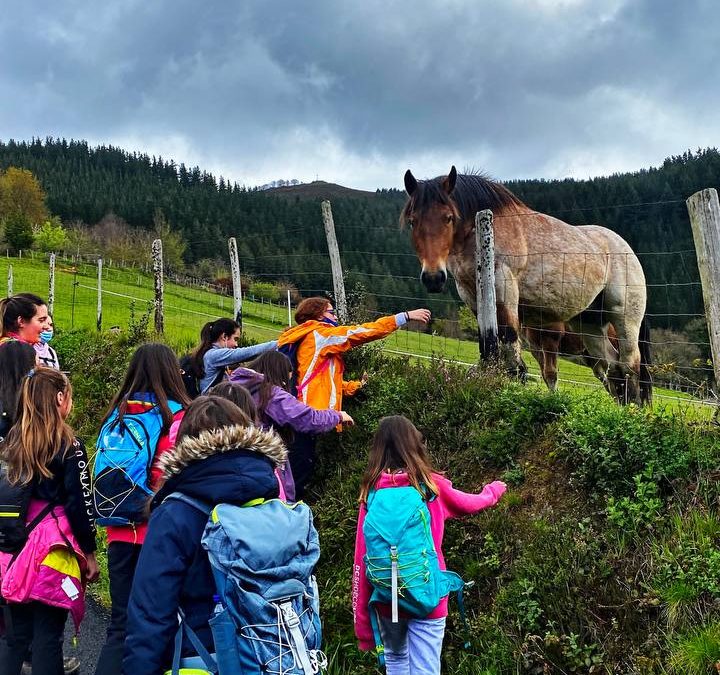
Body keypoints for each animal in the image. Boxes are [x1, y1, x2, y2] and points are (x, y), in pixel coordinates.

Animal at [402, 166, 656, 404]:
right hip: (590, 323)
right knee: (613, 369)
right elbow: (488, 344)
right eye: (413, 221)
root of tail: (628, 251)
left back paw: (633, 411)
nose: (433, 278)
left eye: (448, 217)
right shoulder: (471, 295)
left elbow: (511, 348)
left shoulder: (504, 289)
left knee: (630, 365)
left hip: (624, 318)